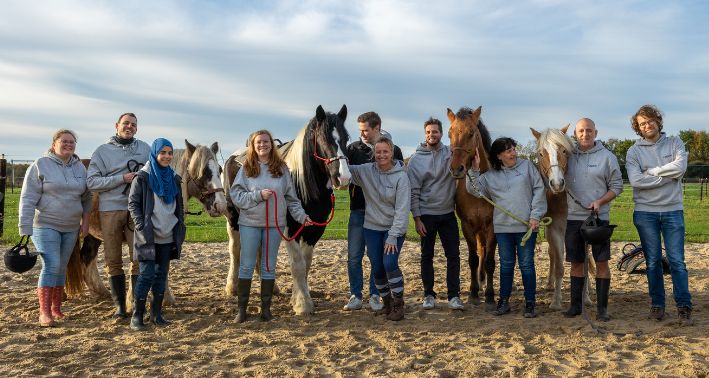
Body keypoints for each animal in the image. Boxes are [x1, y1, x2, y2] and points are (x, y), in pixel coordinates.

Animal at [223, 104, 350, 316]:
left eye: (346, 137)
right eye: (323, 139)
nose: (344, 178)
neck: (302, 183)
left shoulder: (315, 229)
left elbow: (306, 264)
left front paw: (297, 296)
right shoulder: (290, 228)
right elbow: (297, 264)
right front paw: (302, 304)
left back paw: (272, 288)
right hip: (233, 219)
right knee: (236, 249)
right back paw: (232, 287)